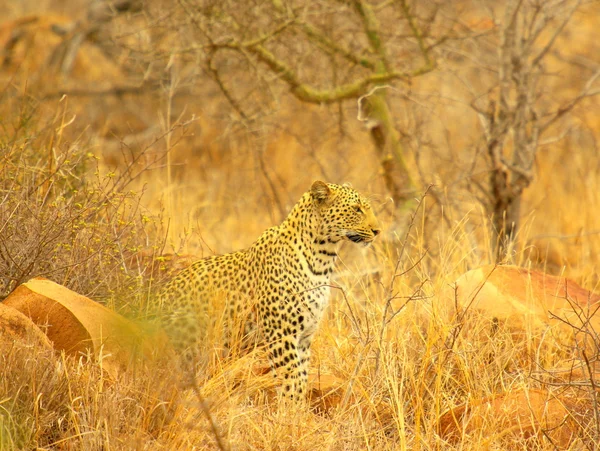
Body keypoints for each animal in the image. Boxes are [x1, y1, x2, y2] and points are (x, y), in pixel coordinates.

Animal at [159, 180, 380, 400]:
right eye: (356, 209)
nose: (378, 230)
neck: (322, 261)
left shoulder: (304, 338)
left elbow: (301, 379)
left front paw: (297, 408)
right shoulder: (281, 335)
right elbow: (291, 381)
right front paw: (290, 408)